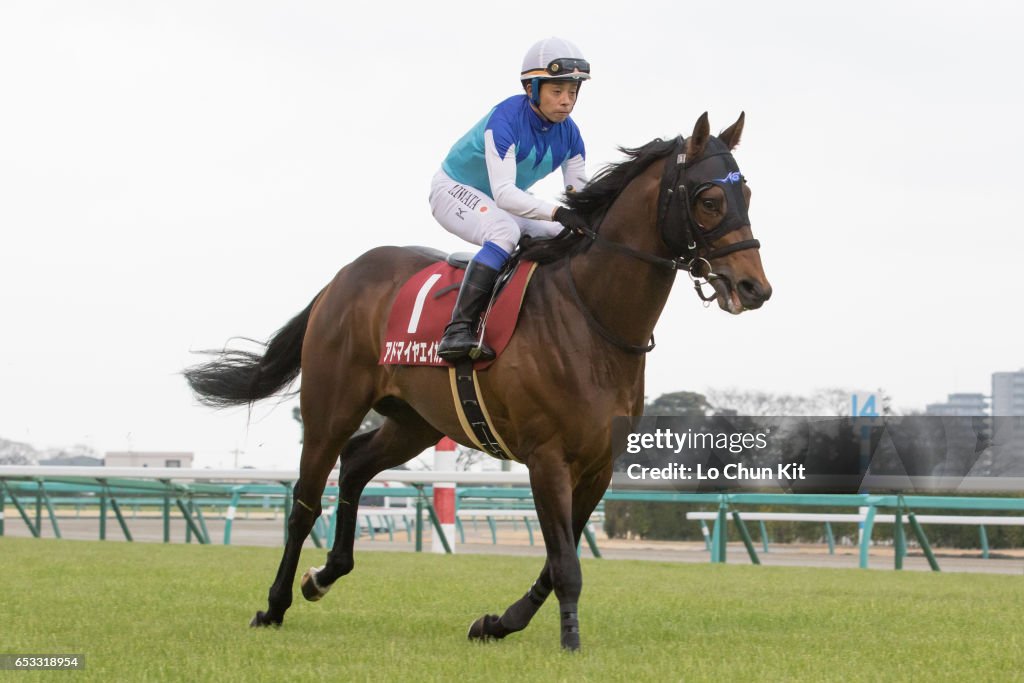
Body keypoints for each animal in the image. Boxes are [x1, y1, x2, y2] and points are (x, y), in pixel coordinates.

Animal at [188, 112, 770, 651]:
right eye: (710, 199)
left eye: (747, 194)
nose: (754, 287)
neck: (591, 315)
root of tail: (342, 279)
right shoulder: (547, 457)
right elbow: (565, 564)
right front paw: (569, 642)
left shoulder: (598, 466)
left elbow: (555, 562)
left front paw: (496, 624)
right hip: (331, 409)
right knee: (305, 502)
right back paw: (274, 605)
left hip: (415, 423)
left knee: (354, 466)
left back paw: (323, 576)